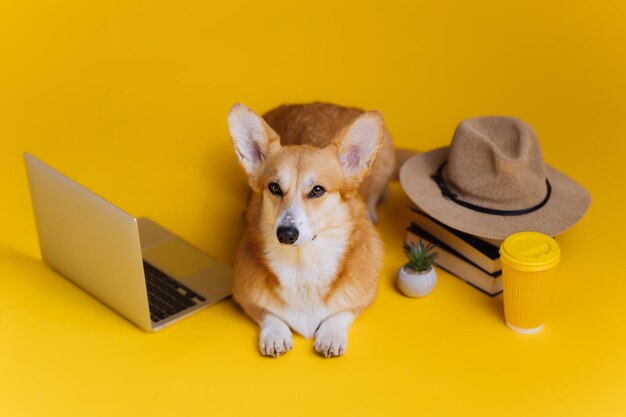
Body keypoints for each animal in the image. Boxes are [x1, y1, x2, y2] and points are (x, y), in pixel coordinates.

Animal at [229, 102, 392, 356]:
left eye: (317, 190)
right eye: (274, 187)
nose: (286, 234)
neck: (302, 263)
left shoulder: (363, 297)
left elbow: (340, 313)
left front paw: (331, 335)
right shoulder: (243, 296)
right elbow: (269, 314)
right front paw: (275, 335)